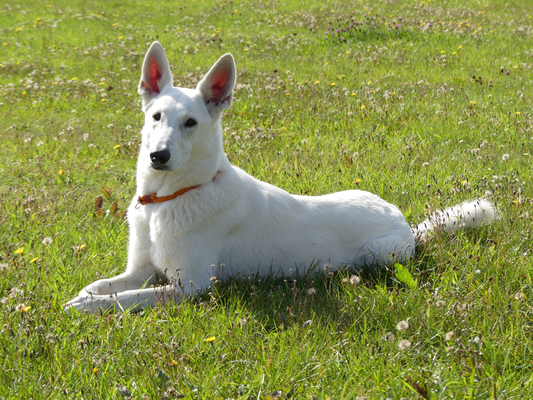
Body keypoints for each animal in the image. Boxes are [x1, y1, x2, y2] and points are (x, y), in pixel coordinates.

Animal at [64, 42, 496, 314]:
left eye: (190, 123)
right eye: (156, 117)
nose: (158, 157)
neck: (167, 200)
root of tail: (408, 223)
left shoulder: (190, 287)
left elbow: (130, 298)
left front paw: (89, 307)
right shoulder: (140, 270)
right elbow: (103, 284)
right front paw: (82, 295)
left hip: (379, 255)